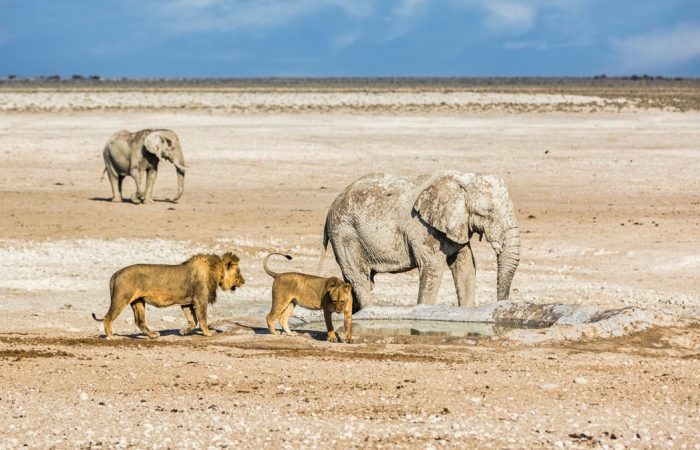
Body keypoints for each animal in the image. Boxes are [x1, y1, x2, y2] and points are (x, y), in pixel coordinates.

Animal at [91, 253, 243, 338]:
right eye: (238, 272)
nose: (244, 281)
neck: (215, 271)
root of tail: (116, 273)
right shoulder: (201, 300)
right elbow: (203, 319)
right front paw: (208, 333)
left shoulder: (186, 302)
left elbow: (193, 320)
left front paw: (183, 332)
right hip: (121, 299)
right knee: (108, 318)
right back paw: (111, 337)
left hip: (138, 302)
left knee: (139, 321)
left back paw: (153, 335)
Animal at [322, 171, 520, 312]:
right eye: (488, 211)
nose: (500, 306)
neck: (463, 179)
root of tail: (333, 204)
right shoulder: (422, 227)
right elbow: (432, 268)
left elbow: (465, 266)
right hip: (344, 232)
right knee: (359, 278)